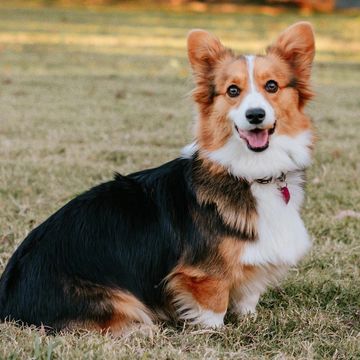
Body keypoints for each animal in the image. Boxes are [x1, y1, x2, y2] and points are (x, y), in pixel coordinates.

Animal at [0, 21, 316, 334]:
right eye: (233, 90)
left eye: (272, 86)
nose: (255, 115)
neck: (251, 172)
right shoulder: (204, 275)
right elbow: (213, 309)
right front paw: (214, 334)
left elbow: (249, 297)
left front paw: (249, 319)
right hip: (118, 299)